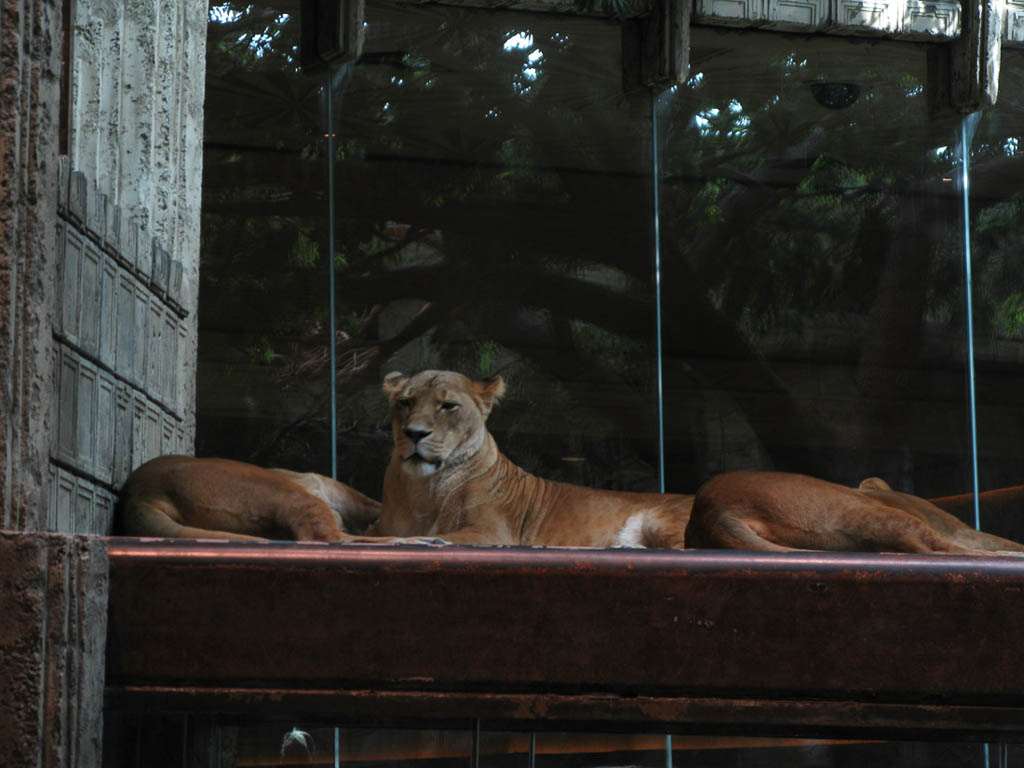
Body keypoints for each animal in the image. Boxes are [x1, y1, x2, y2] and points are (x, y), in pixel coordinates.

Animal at [374, 370, 1024, 557]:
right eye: (405, 402)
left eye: (448, 405)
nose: (414, 434)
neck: (423, 490)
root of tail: (714, 504)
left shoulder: (493, 528)